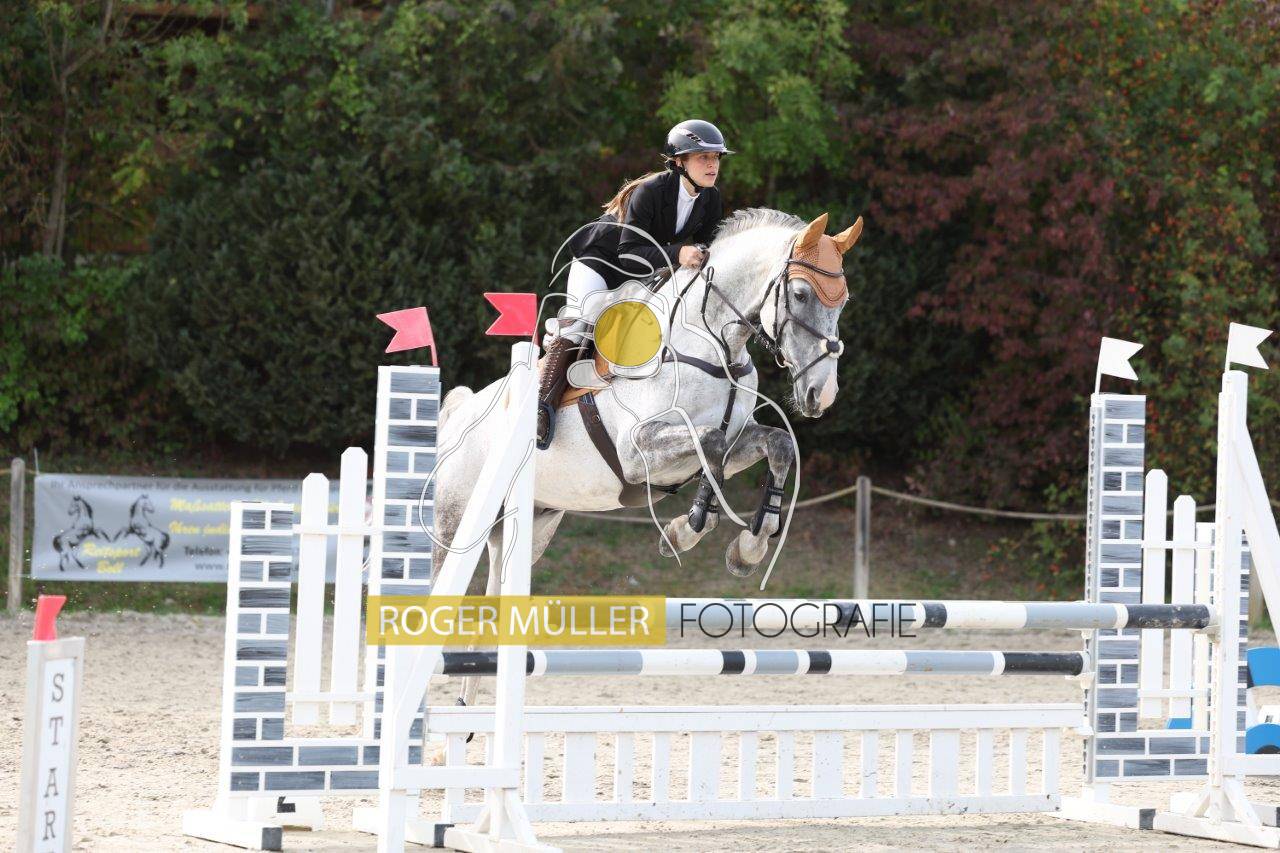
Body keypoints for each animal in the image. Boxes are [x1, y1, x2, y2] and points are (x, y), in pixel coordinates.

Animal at [429, 208, 862, 712]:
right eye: (800, 294)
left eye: (843, 302)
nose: (821, 395)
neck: (712, 343)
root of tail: (458, 416)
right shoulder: (638, 452)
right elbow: (710, 443)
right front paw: (687, 532)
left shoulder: (735, 441)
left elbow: (773, 446)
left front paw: (744, 545)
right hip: (456, 524)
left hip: (529, 526)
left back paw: (467, 707)